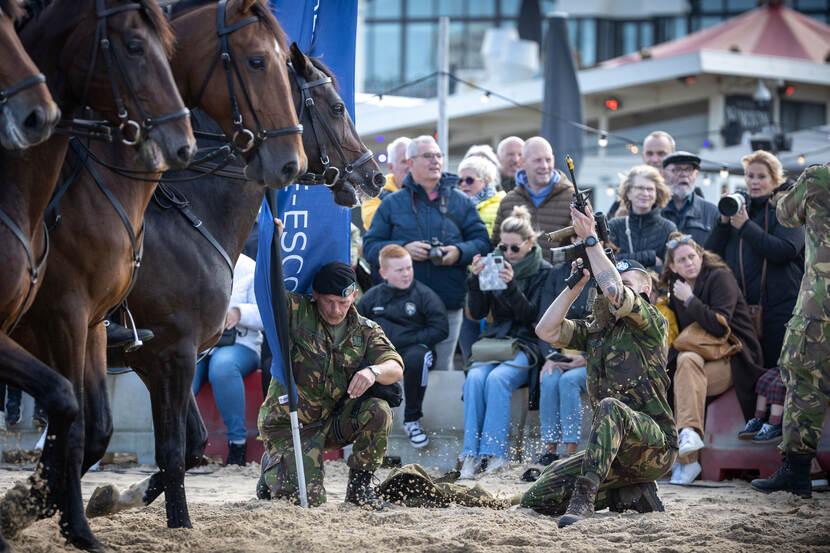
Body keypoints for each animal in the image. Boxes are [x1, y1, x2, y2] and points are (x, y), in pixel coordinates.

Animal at [0, 1, 197, 548]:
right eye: (133, 46)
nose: (182, 143)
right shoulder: (71, 321)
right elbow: (79, 427)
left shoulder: (97, 329)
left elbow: (99, 429)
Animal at [83, 43, 382, 528]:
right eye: (338, 108)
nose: (373, 176)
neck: (191, 213)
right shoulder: (169, 353)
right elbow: (171, 451)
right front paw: (178, 523)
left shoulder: (164, 356)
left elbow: (192, 446)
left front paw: (116, 496)